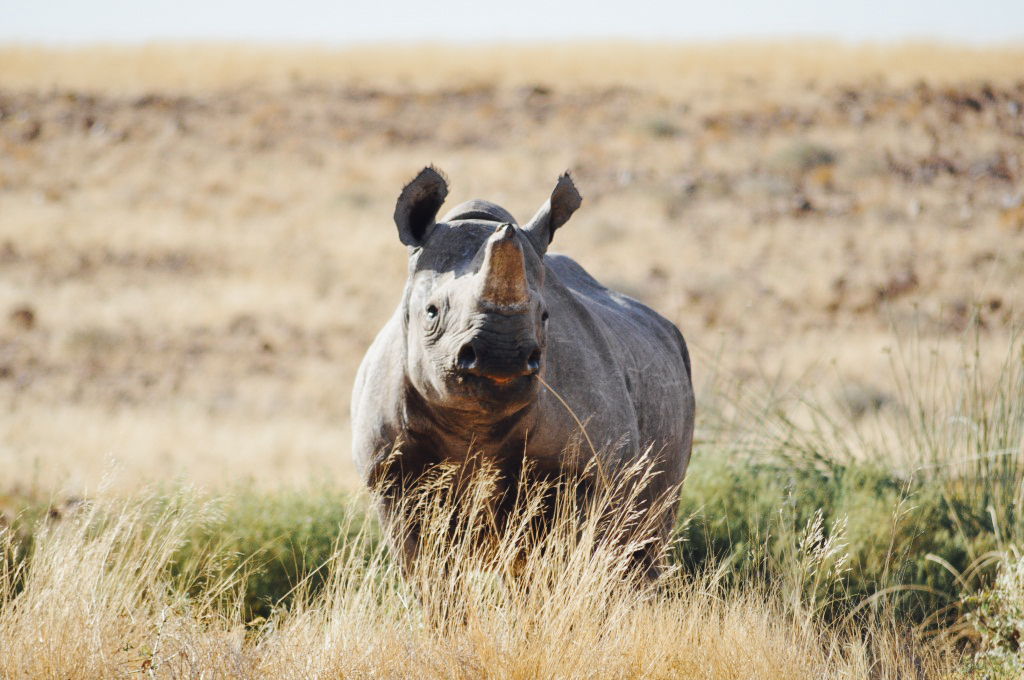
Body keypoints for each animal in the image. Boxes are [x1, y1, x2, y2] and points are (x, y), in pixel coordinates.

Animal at [351, 167, 695, 578]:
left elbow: (558, 563)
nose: (502, 357)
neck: (473, 423)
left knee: (644, 540)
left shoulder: (582, 474)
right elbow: (427, 570)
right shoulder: (392, 476)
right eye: (432, 312)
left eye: (545, 315)